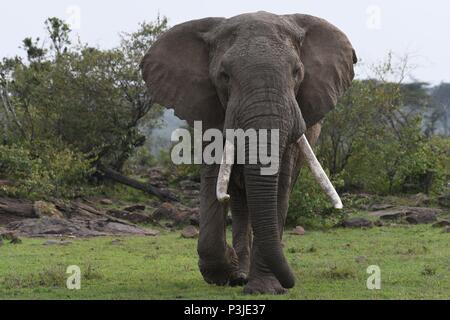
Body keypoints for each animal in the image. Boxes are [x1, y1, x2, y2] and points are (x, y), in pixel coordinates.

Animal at [142, 11, 358, 294]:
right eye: (224, 76)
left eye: (297, 73)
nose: (291, 283)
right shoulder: (211, 113)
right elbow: (214, 179)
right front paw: (227, 272)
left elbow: (279, 185)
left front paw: (264, 289)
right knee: (240, 201)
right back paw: (240, 273)